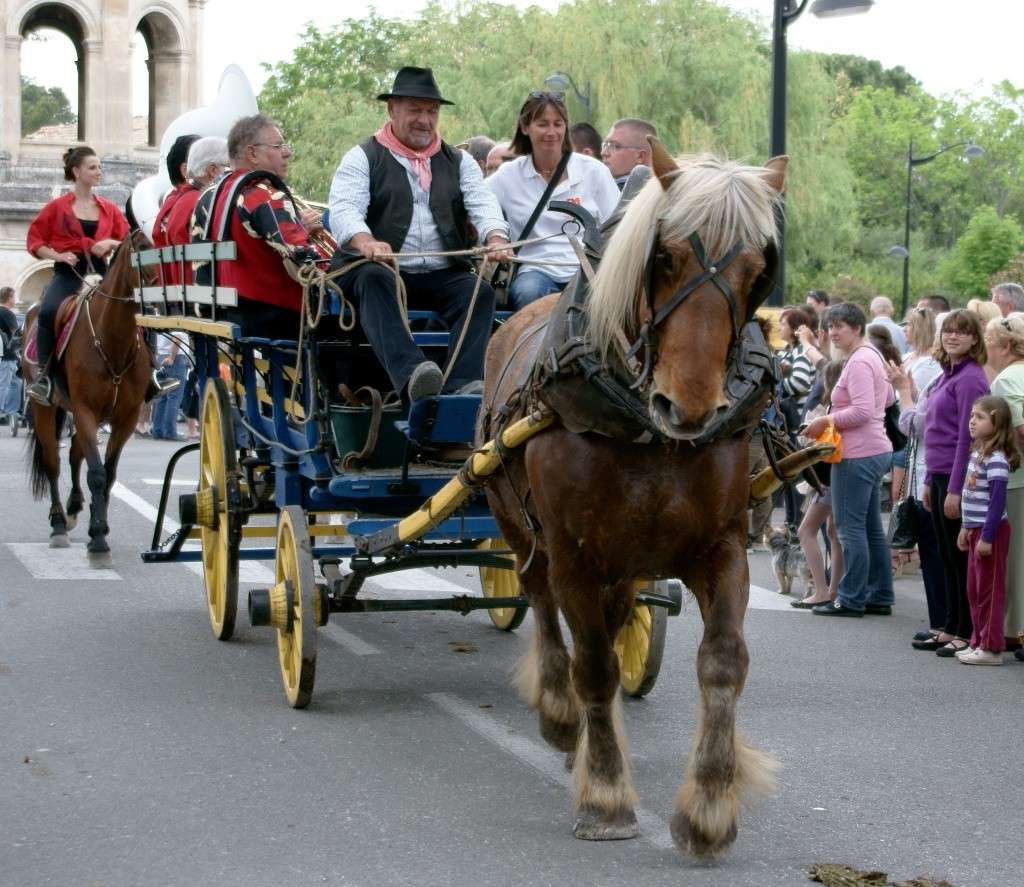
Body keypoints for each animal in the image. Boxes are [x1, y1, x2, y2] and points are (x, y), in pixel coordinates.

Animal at [22, 231, 151, 557]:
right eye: (144, 247)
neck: (112, 340)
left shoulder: (126, 418)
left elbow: (108, 474)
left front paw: (98, 526)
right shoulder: (85, 410)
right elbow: (97, 474)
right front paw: (99, 536)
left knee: (74, 454)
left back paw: (75, 507)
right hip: (45, 408)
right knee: (53, 462)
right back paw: (58, 522)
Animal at [483, 146, 786, 856]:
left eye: (757, 270)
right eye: (665, 257)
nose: (690, 406)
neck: (646, 431)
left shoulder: (723, 547)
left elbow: (724, 662)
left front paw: (710, 805)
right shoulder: (574, 554)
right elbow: (592, 664)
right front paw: (605, 795)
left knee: (617, 615)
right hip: (518, 524)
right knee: (540, 603)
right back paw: (562, 715)